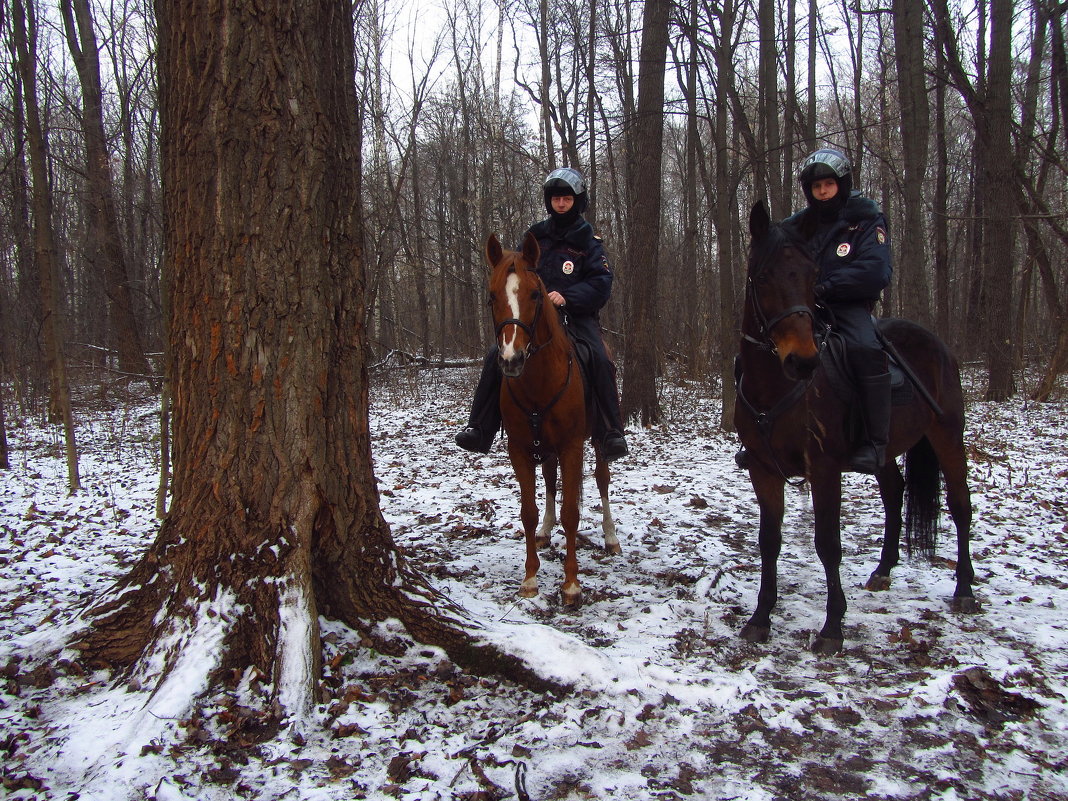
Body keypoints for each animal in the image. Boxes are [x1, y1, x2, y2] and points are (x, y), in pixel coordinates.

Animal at [484, 231, 619, 606]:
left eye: (535, 293)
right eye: (492, 296)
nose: (511, 360)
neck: (538, 380)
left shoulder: (572, 445)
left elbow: (572, 513)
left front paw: (571, 584)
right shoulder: (519, 448)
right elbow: (528, 511)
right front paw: (530, 578)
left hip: (597, 439)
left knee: (602, 480)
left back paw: (611, 536)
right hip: (543, 446)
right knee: (548, 478)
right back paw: (547, 529)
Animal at [734, 199, 978, 653]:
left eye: (813, 276)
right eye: (762, 276)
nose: (803, 361)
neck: (776, 387)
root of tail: (938, 344)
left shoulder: (825, 469)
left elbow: (828, 545)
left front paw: (832, 626)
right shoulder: (762, 469)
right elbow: (769, 541)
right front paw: (760, 617)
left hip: (948, 435)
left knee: (960, 506)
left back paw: (965, 589)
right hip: (885, 450)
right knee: (894, 492)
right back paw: (883, 570)